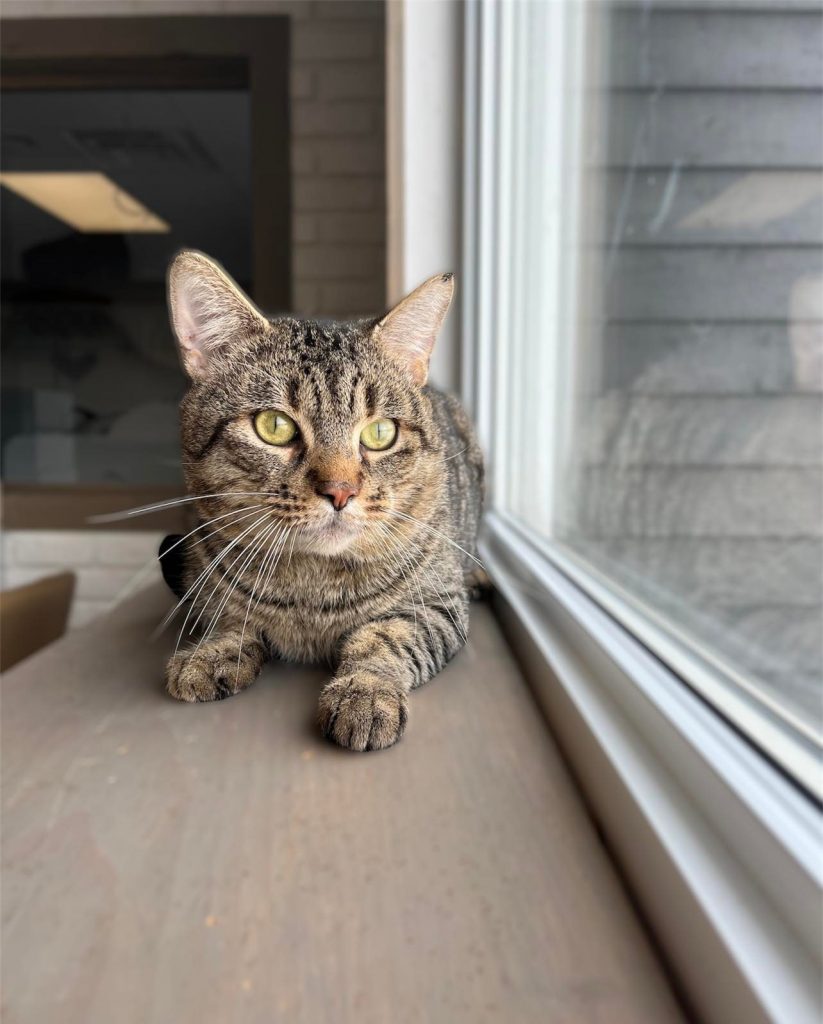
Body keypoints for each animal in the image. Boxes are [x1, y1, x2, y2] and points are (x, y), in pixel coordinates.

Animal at [160, 250, 483, 751]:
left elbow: (384, 637)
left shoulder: (438, 605)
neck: (313, 588)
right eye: (274, 426)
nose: (340, 491)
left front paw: (365, 692)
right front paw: (211, 653)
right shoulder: (203, 579)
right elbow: (225, 619)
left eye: (380, 432)